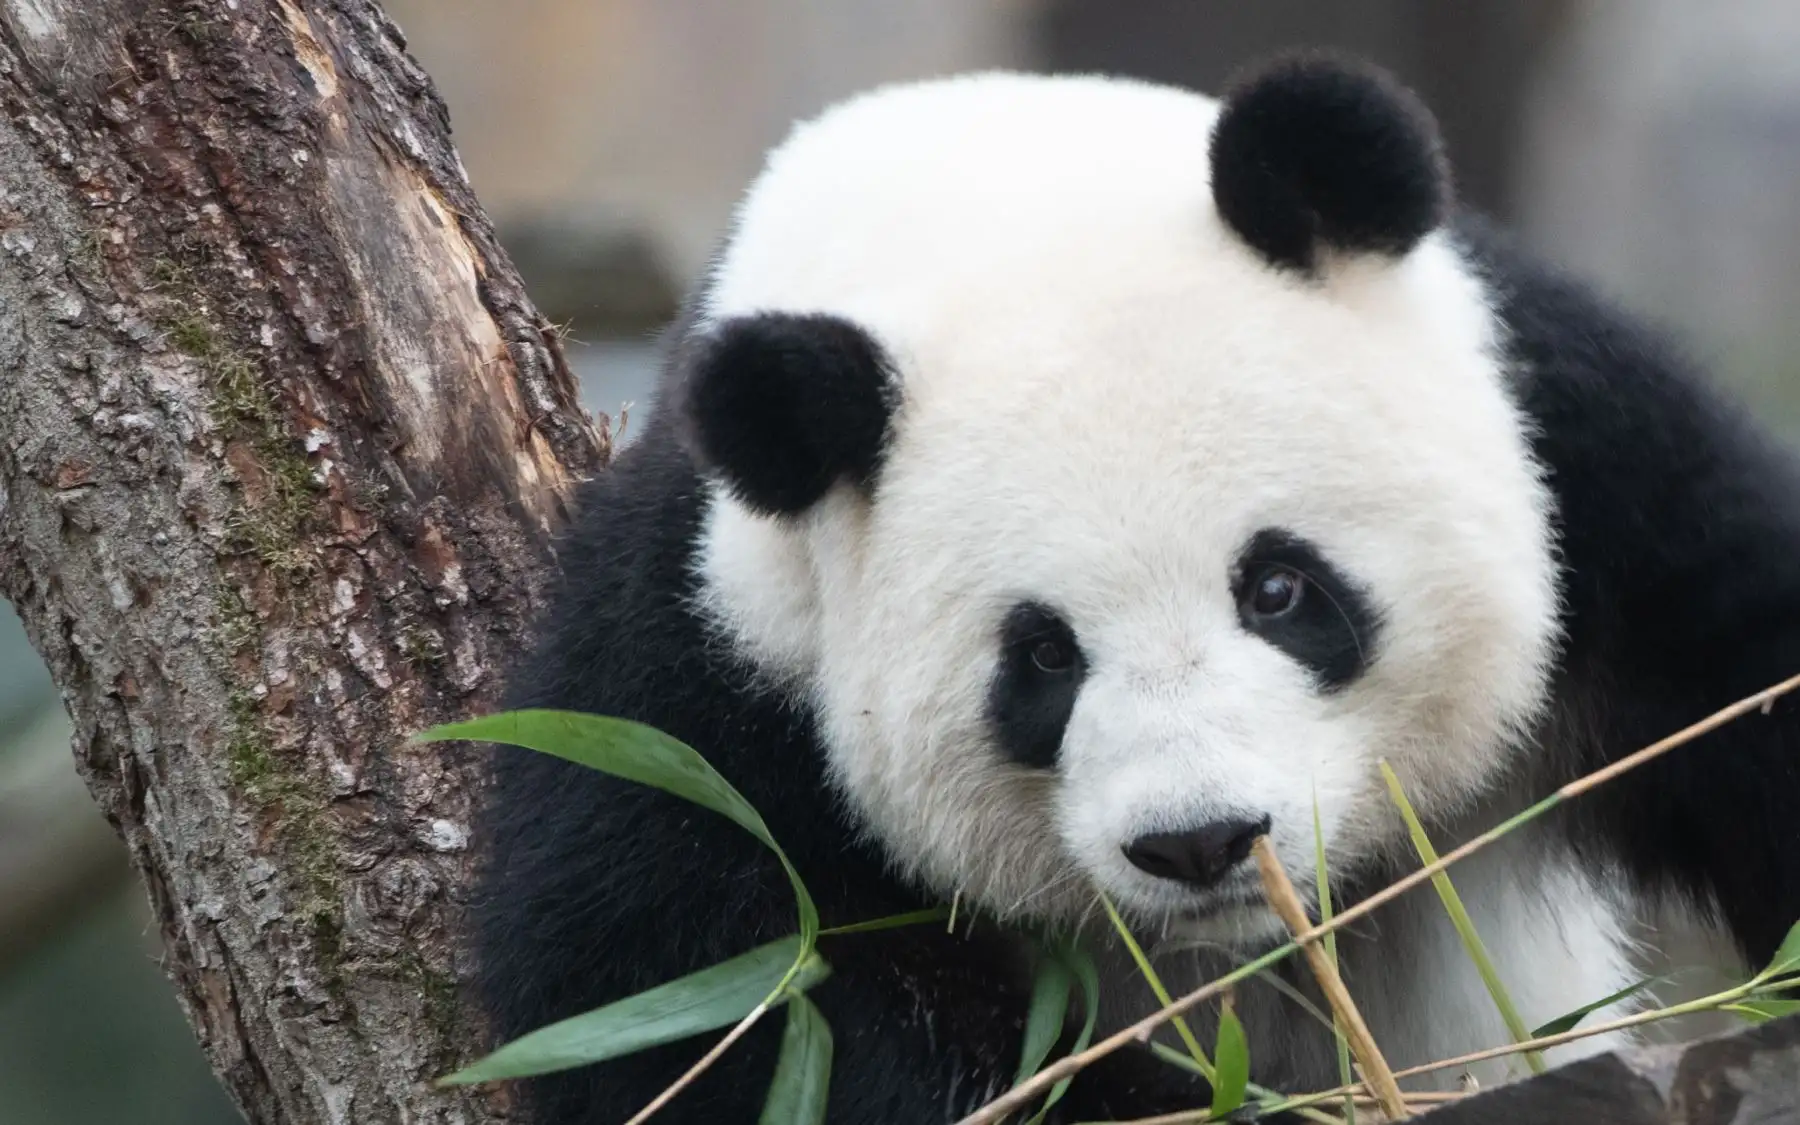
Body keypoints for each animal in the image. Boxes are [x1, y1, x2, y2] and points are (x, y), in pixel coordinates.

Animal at [470, 51, 1800, 1123]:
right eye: (1043, 656)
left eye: (1278, 588)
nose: (1200, 841)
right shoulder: (712, 648)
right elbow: (722, 997)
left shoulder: (1583, 463)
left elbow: (1747, 671)